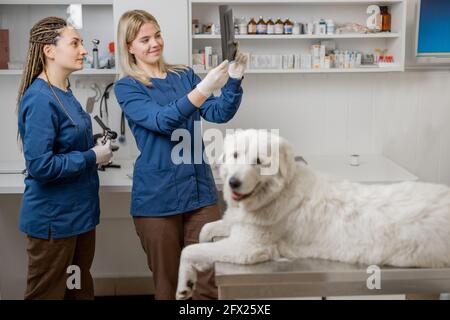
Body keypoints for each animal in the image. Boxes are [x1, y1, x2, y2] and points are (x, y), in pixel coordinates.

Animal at [177, 129, 450, 298]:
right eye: (235, 155)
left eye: (259, 161)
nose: (233, 182)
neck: (278, 193)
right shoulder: (239, 226)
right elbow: (206, 230)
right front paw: (192, 276)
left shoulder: (247, 248)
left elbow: (188, 250)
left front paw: (184, 284)